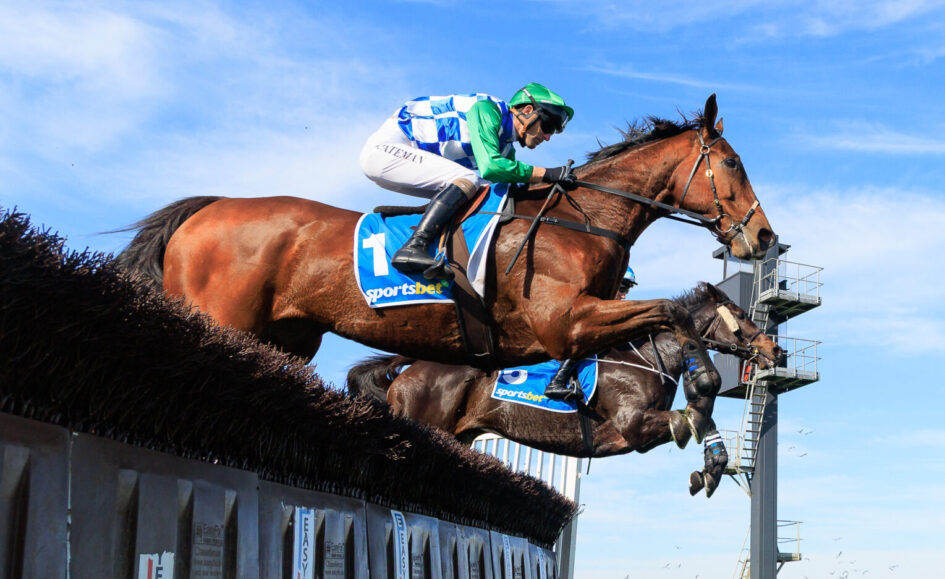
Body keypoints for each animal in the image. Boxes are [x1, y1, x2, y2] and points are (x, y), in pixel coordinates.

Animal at [116, 95, 774, 437]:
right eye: (734, 163)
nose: (763, 236)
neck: (582, 219)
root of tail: (208, 208)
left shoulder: (582, 322)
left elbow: (665, 318)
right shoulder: (564, 319)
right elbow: (671, 312)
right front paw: (702, 392)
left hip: (285, 339)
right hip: (219, 317)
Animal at [346, 283, 783, 496]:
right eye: (741, 315)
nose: (775, 349)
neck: (647, 357)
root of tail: (409, 369)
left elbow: (703, 421)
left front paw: (711, 468)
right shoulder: (633, 426)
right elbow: (694, 416)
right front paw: (708, 469)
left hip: (458, 436)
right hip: (421, 424)